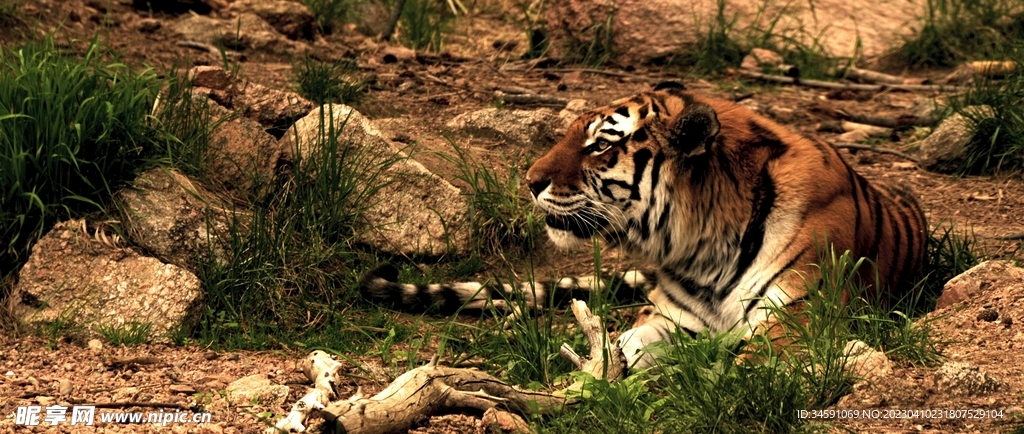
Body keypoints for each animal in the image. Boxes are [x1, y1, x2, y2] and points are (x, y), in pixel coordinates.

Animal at [362, 81, 928, 370]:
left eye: (599, 145)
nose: (529, 181)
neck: (706, 248)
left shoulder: (795, 322)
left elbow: (741, 365)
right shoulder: (669, 318)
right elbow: (623, 348)